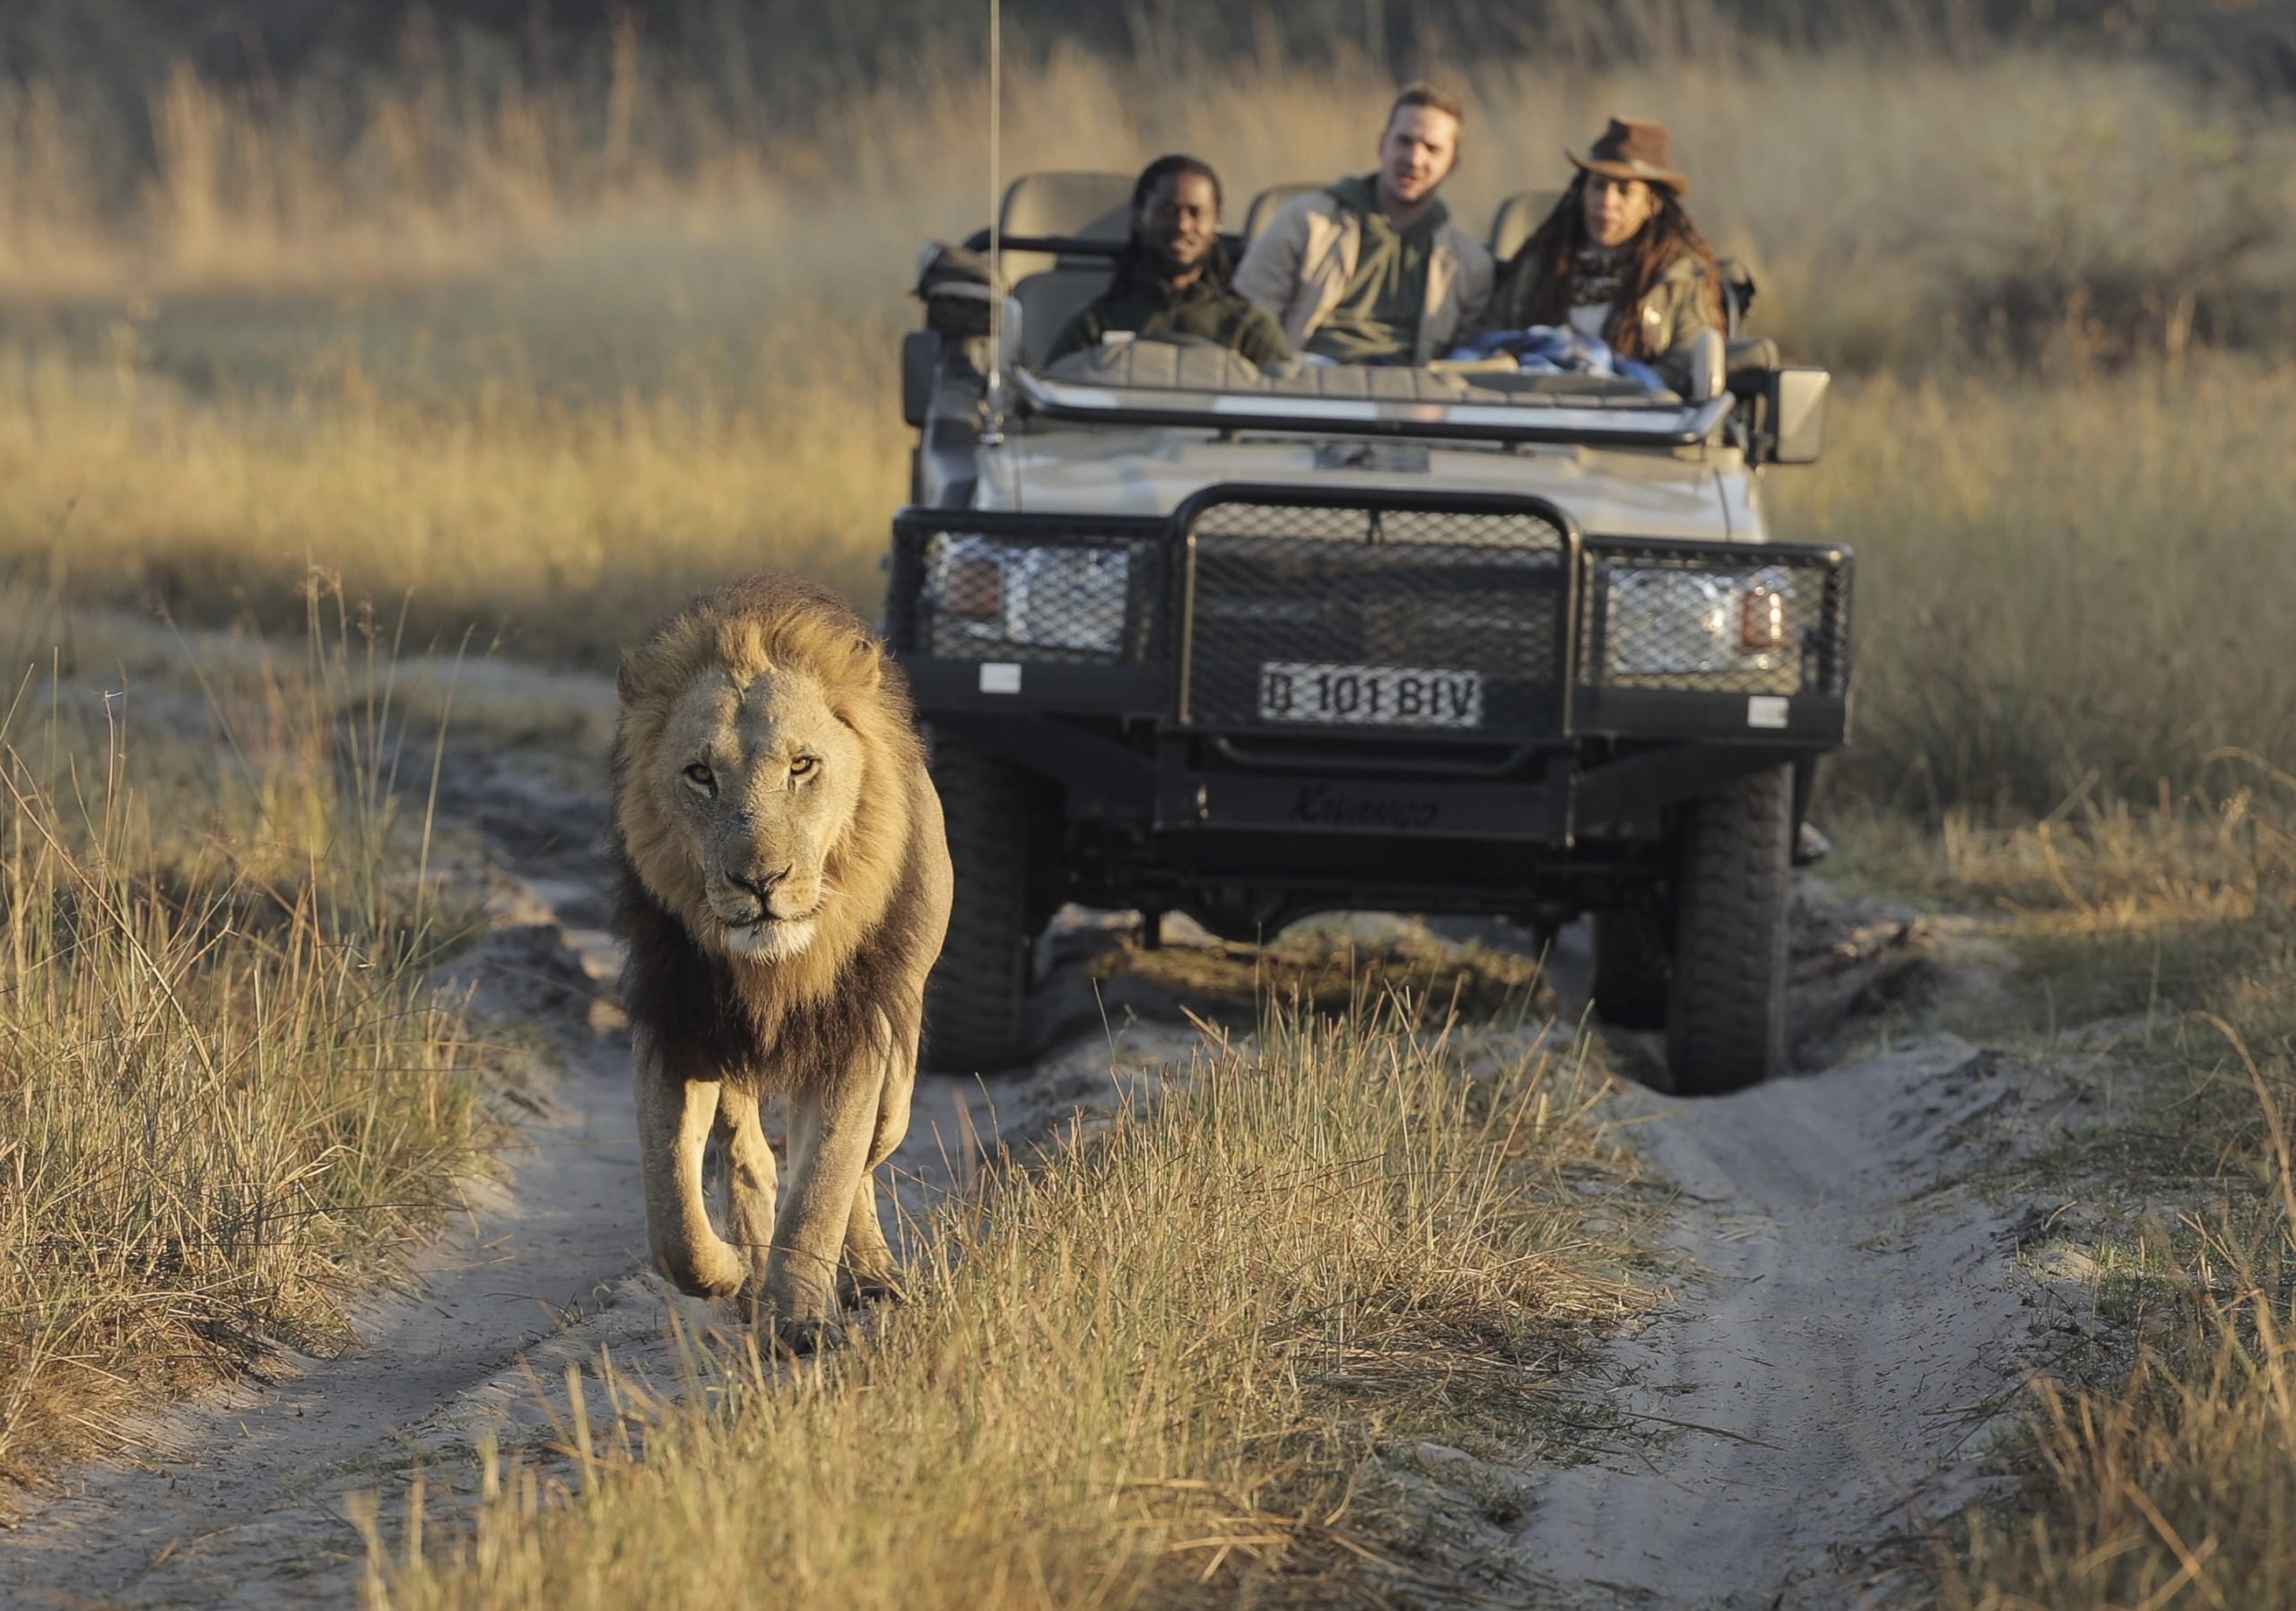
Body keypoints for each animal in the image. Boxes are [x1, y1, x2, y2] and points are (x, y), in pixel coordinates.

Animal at [605, 573, 954, 1358]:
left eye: (802, 766)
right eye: (700, 775)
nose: (759, 882)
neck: (776, 968)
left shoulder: (857, 1034)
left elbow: (824, 1184)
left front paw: (797, 1319)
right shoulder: (674, 1029)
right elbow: (672, 1218)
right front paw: (735, 1271)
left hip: (899, 1055)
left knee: (865, 1159)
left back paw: (869, 1275)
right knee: (747, 1155)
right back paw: (752, 1261)